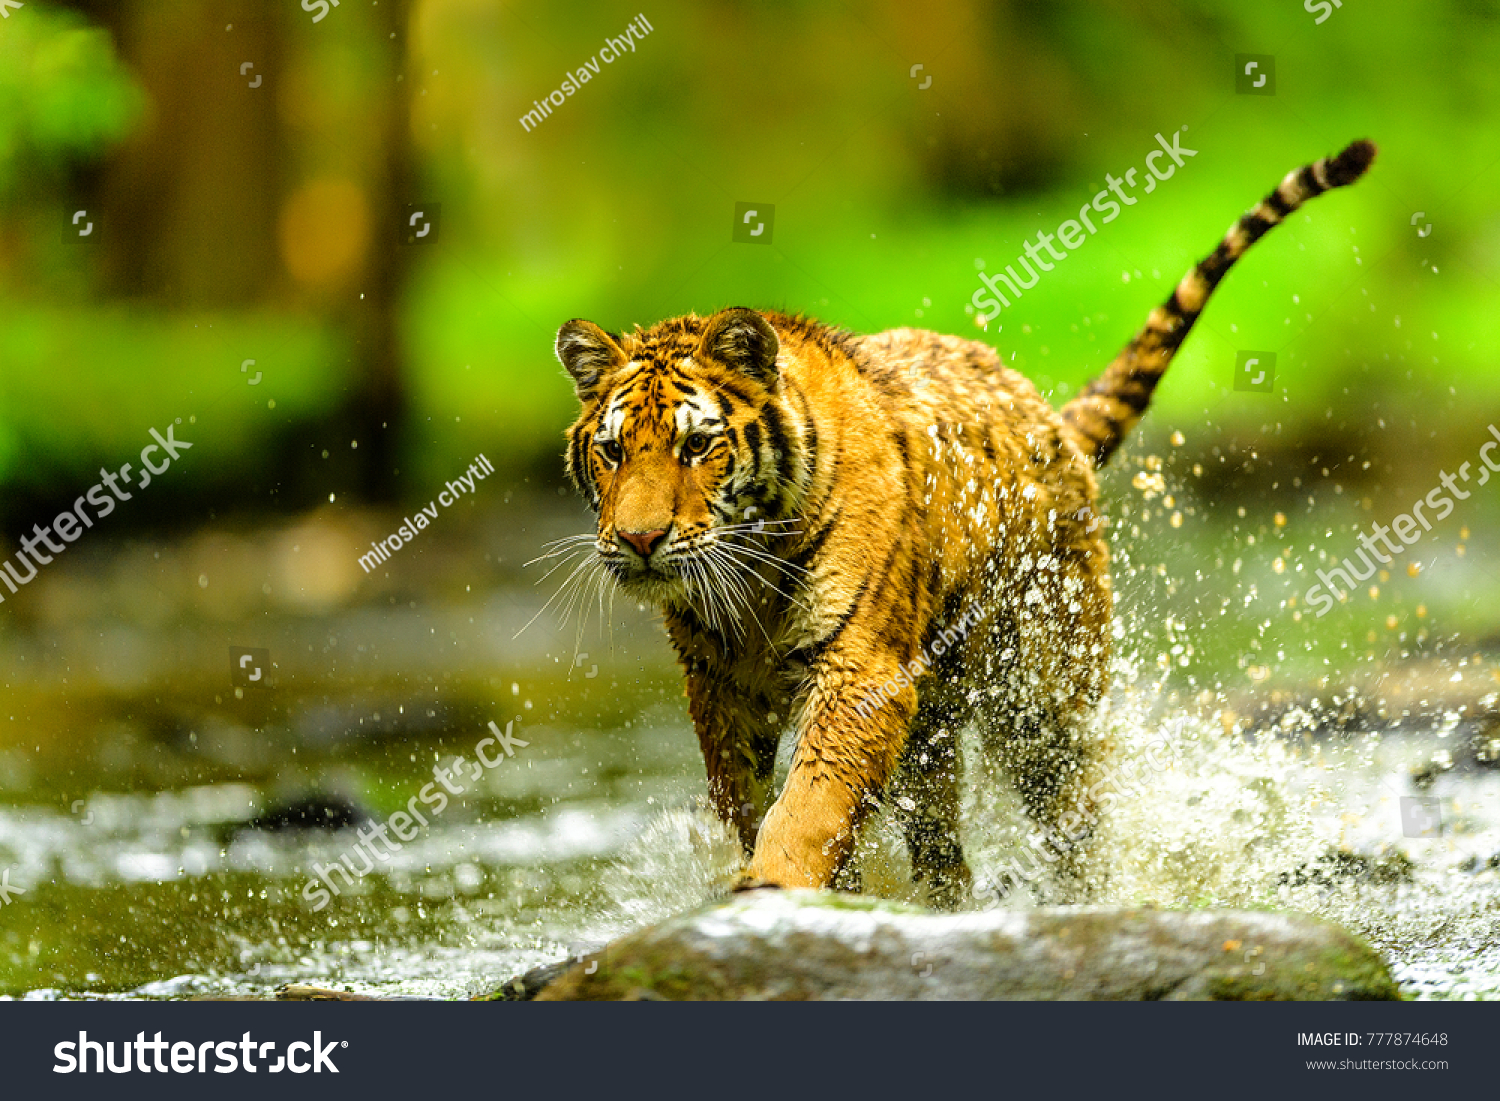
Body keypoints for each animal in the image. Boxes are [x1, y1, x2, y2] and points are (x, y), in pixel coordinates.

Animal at [552, 139, 1376, 907]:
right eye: (613, 451)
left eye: (696, 445)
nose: (640, 540)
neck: (750, 576)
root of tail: (1046, 413)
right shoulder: (720, 688)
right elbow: (747, 801)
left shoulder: (861, 675)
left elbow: (809, 802)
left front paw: (774, 884)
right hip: (937, 726)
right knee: (943, 845)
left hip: (1044, 698)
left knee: (1074, 822)